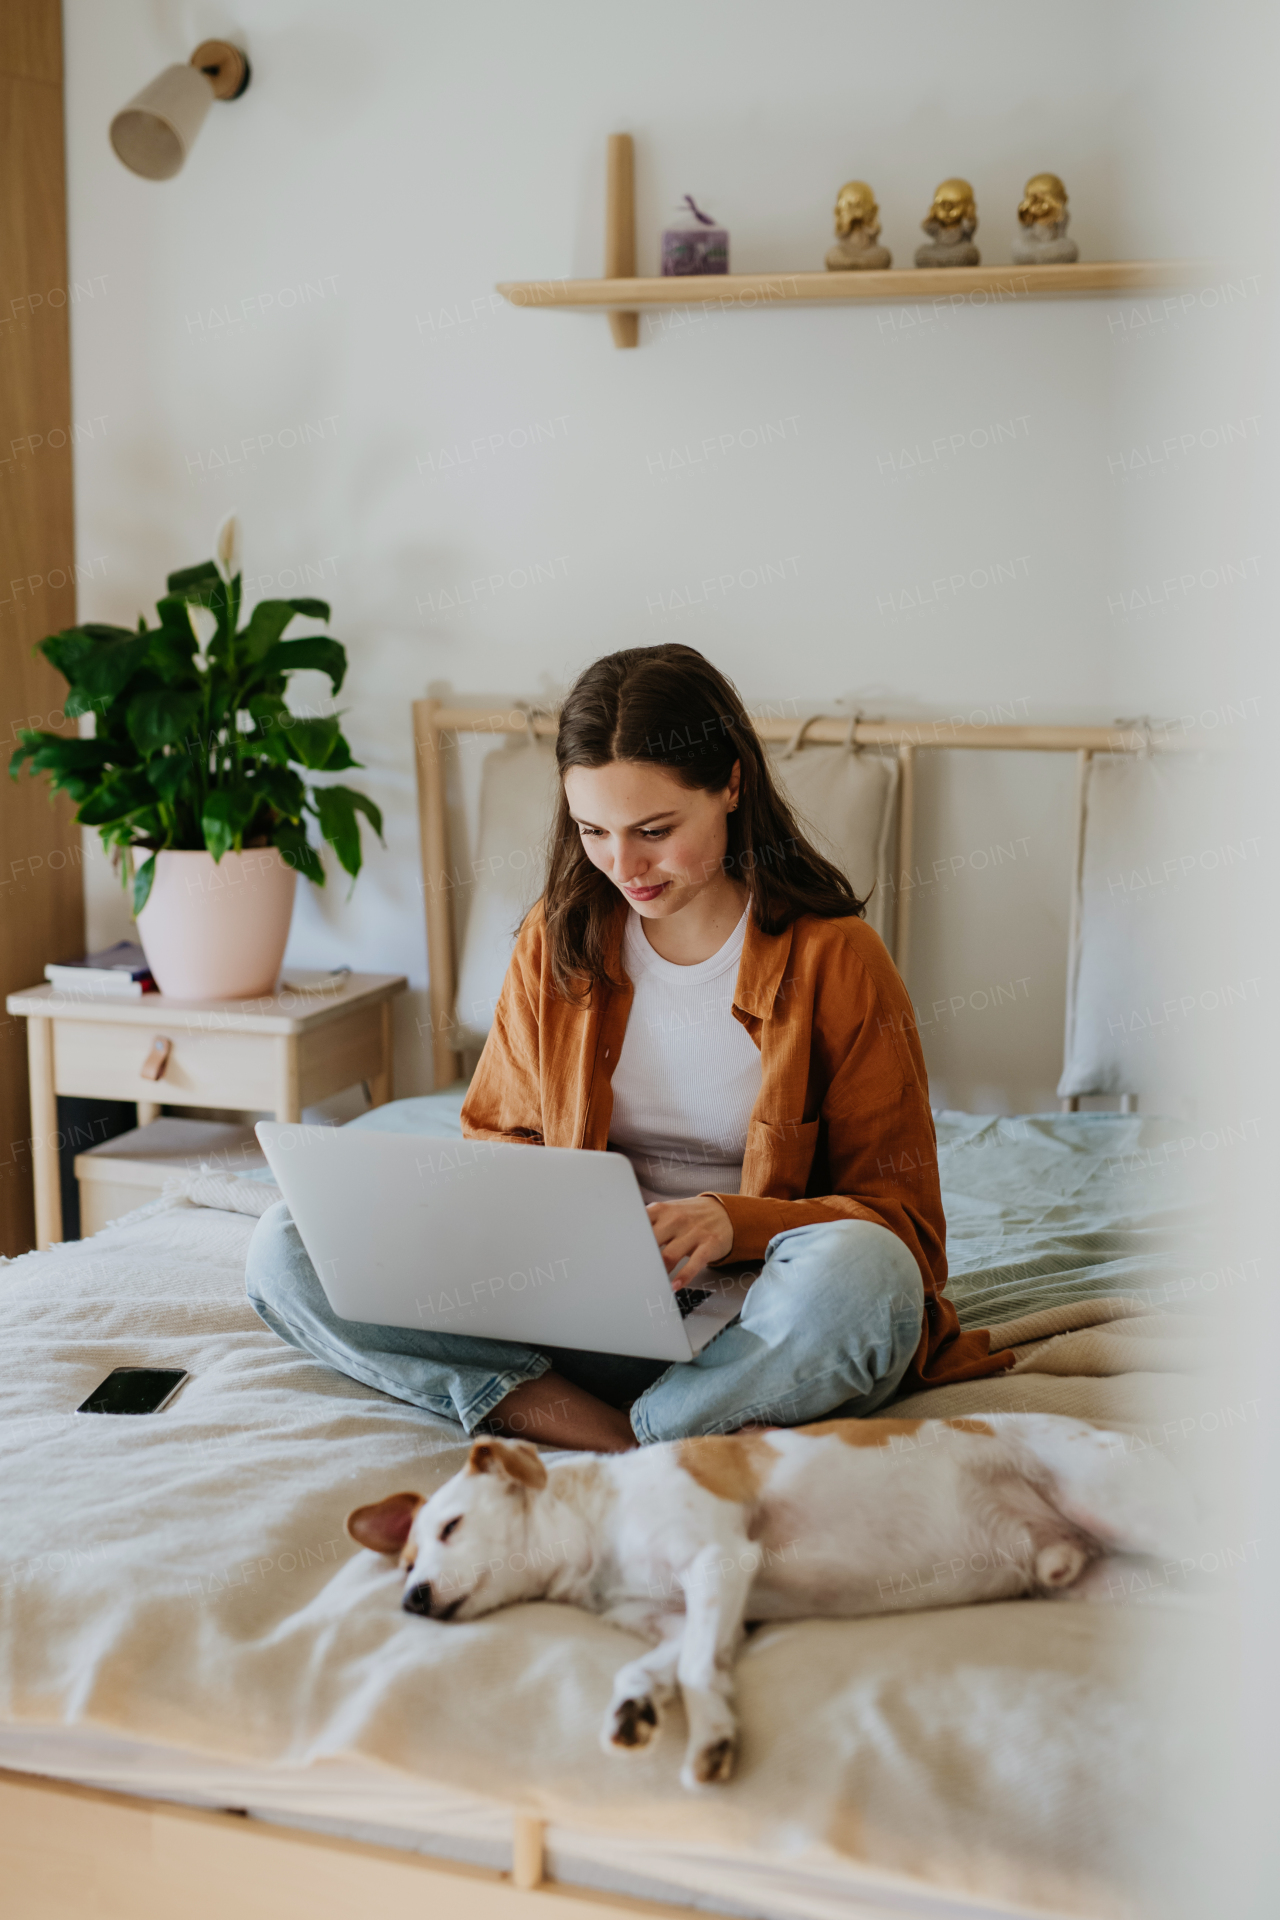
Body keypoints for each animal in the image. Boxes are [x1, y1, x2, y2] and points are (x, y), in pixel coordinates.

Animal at [347, 1420, 1189, 1789]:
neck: (595, 1529)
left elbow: (693, 1673)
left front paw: (712, 1738)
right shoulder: (688, 1620)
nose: (413, 1599)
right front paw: (637, 1711)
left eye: (451, 1528)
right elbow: (664, 1667)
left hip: (1122, 1507)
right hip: (1119, 1585)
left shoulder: (721, 1563)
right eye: (407, 1564)